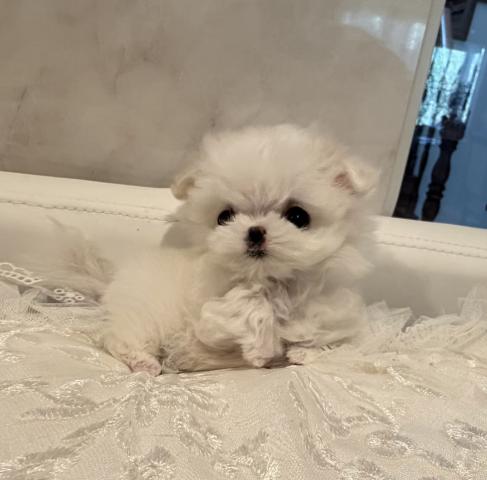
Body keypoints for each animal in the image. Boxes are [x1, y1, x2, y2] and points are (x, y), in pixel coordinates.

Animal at [44, 124, 377, 375]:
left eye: (298, 217)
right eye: (224, 216)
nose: (255, 231)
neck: (274, 285)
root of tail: (113, 282)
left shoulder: (335, 307)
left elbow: (339, 337)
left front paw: (306, 351)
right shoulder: (210, 312)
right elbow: (242, 313)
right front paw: (258, 345)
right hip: (145, 313)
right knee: (120, 337)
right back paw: (146, 362)